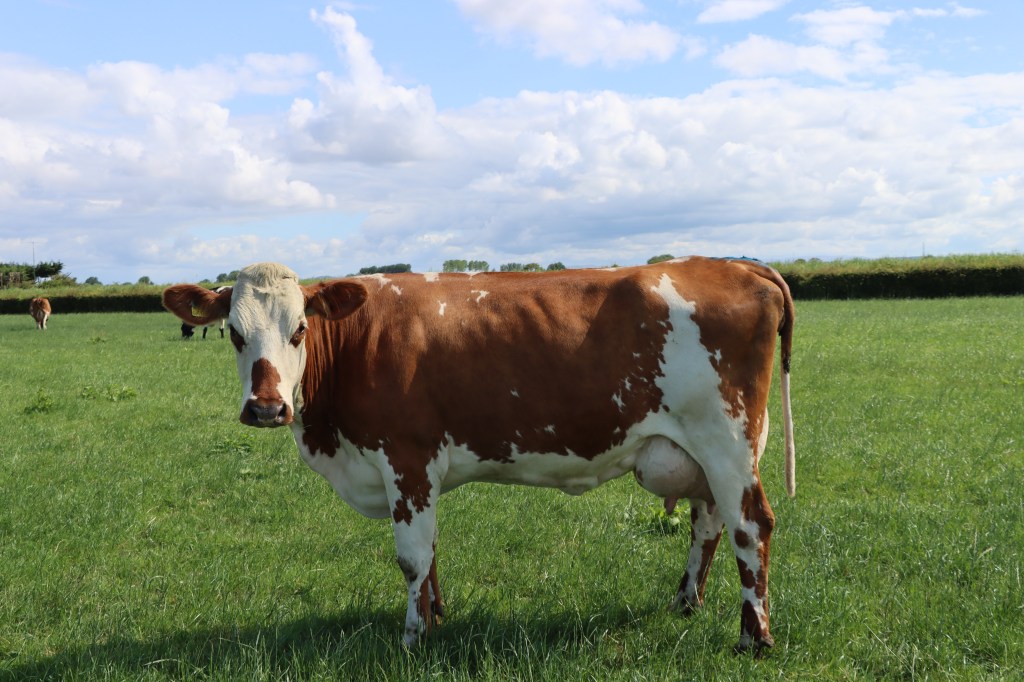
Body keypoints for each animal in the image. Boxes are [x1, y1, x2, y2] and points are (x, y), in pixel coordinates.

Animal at [163, 256, 794, 655]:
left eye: (298, 328)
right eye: (235, 334)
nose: (267, 407)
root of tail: (734, 264)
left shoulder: (406, 459)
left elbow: (411, 558)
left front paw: (413, 639)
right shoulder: (416, 474)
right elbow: (431, 553)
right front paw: (436, 617)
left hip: (727, 438)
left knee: (751, 525)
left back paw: (754, 638)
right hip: (704, 451)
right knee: (709, 523)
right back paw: (686, 603)